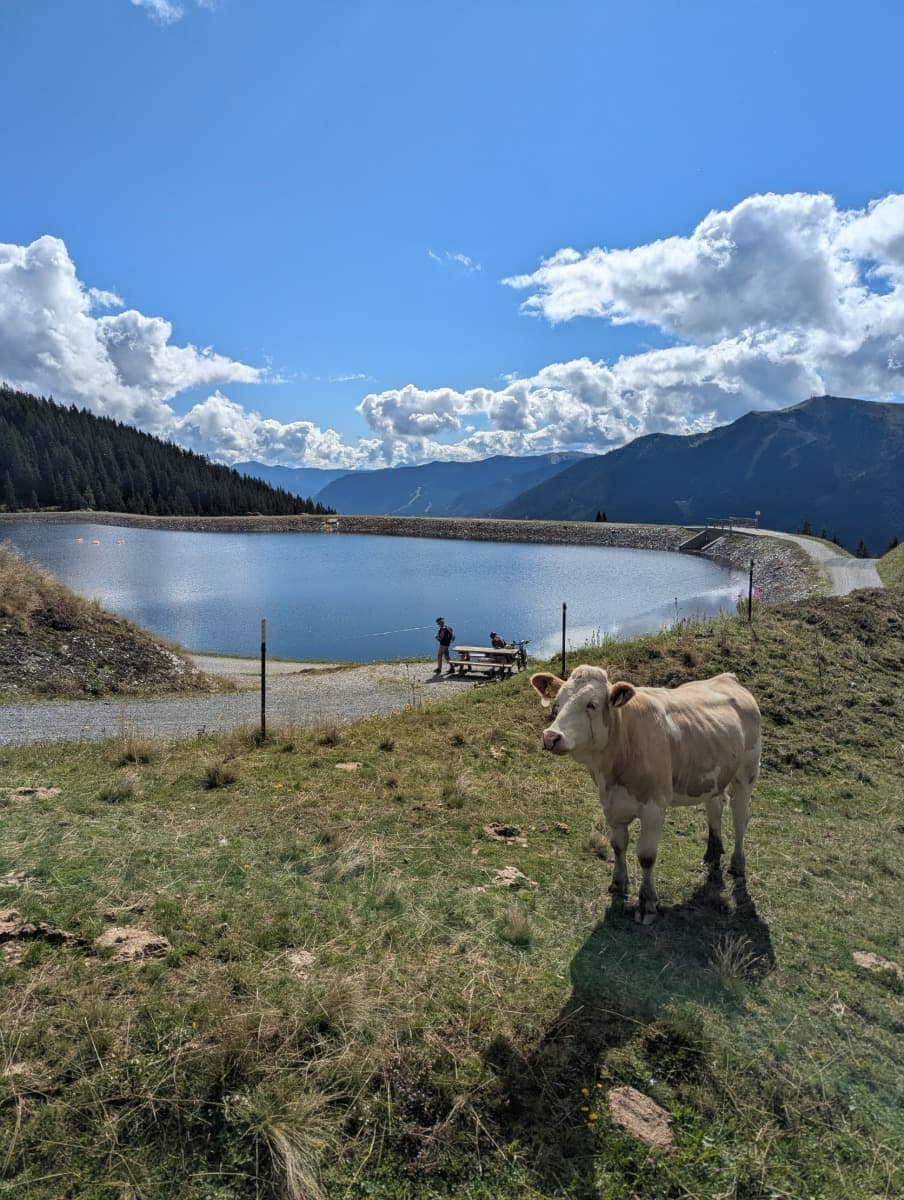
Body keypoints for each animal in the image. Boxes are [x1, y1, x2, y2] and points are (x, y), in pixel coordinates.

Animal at [530, 666, 761, 924]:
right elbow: (618, 845)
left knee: (740, 819)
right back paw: (712, 852)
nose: (551, 736)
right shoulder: (611, 804)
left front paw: (647, 903)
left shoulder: (654, 807)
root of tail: (727, 678)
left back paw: (737, 864)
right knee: (715, 809)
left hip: (747, 773)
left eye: (591, 704)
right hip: (714, 773)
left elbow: (646, 856)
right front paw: (618, 884)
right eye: (558, 702)